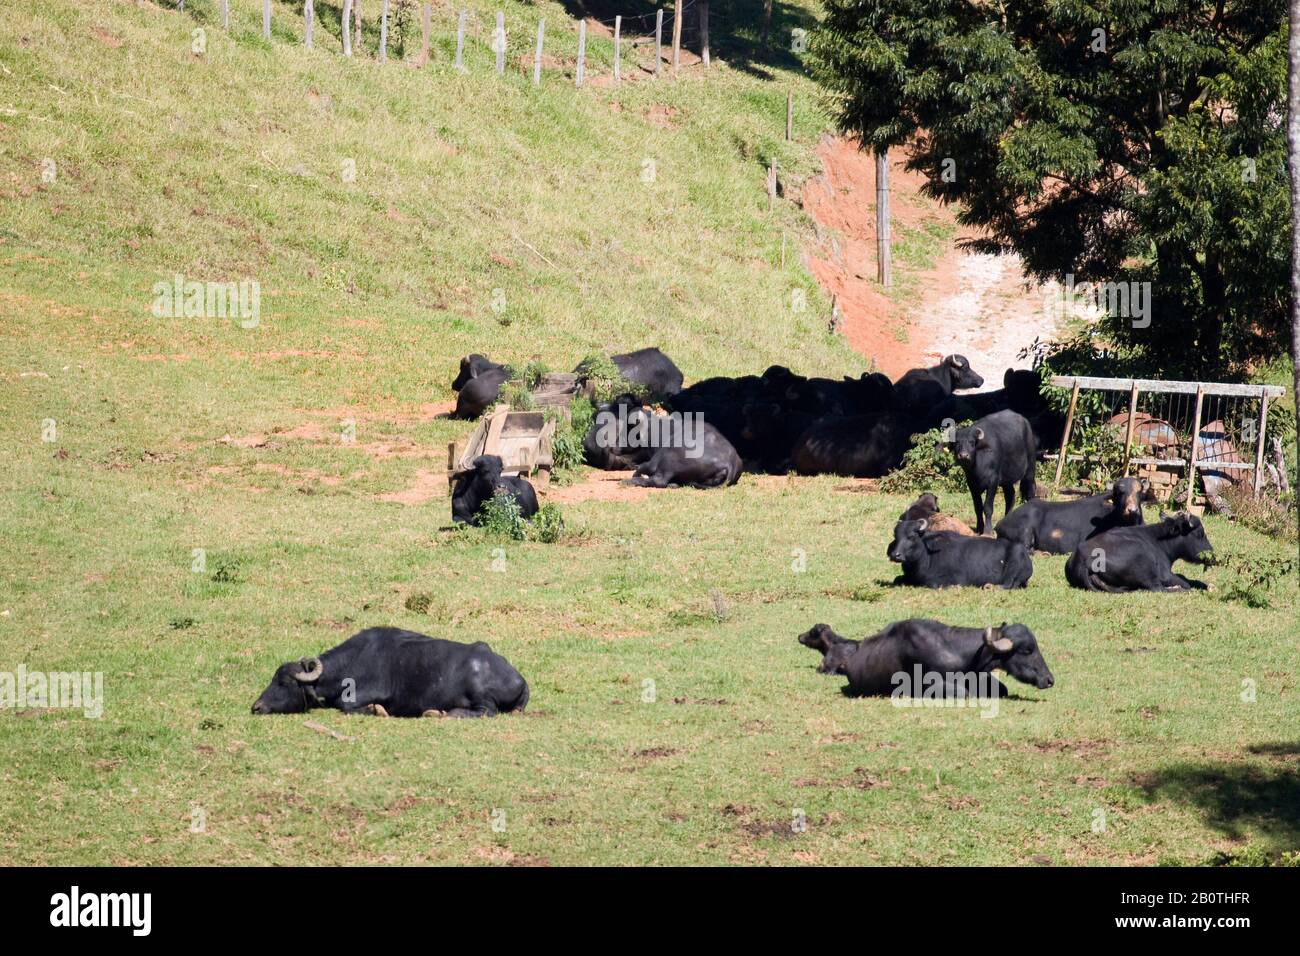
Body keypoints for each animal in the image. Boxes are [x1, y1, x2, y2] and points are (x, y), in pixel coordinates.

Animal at [250, 629, 530, 717]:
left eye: (284, 683)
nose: (256, 706)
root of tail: (519, 678)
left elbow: (345, 705)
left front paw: (377, 710)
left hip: (482, 698)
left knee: (485, 712)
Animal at [889, 520, 1029, 587]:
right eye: (896, 536)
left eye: (911, 537)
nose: (895, 555)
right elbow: (897, 579)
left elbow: (933, 583)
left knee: (1008, 584)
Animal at [1060, 512, 1211, 595]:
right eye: (1200, 533)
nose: (1211, 550)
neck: (1159, 540)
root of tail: (1082, 559)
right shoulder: (1165, 575)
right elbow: (1185, 582)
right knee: (1157, 588)